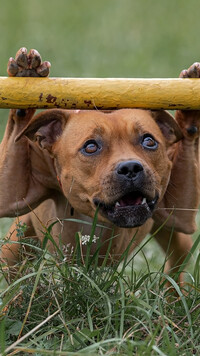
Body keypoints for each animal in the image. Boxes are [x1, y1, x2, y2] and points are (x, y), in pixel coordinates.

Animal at [0, 48, 200, 284]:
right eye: (91, 147)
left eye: (149, 141)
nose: (130, 168)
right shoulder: (12, 196)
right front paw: (26, 76)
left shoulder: (180, 214)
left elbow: (189, 136)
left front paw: (190, 116)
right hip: (14, 247)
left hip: (173, 232)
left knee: (178, 259)